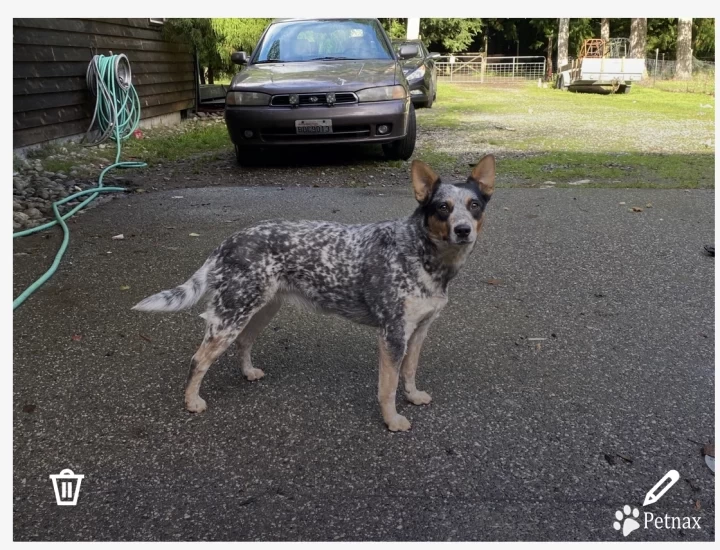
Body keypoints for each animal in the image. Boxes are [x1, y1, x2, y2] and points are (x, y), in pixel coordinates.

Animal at [134, 154, 496, 432]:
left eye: (474, 205)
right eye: (442, 207)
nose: (463, 230)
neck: (422, 254)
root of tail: (229, 241)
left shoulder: (418, 332)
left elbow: (409, 372)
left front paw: (413, 395)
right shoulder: (392, 335)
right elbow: (388, 387)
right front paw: (392, 420)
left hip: (261, 311)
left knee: (244, 343)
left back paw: (248, 372)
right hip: (230, 317)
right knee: (199, 360)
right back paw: (192, 401)